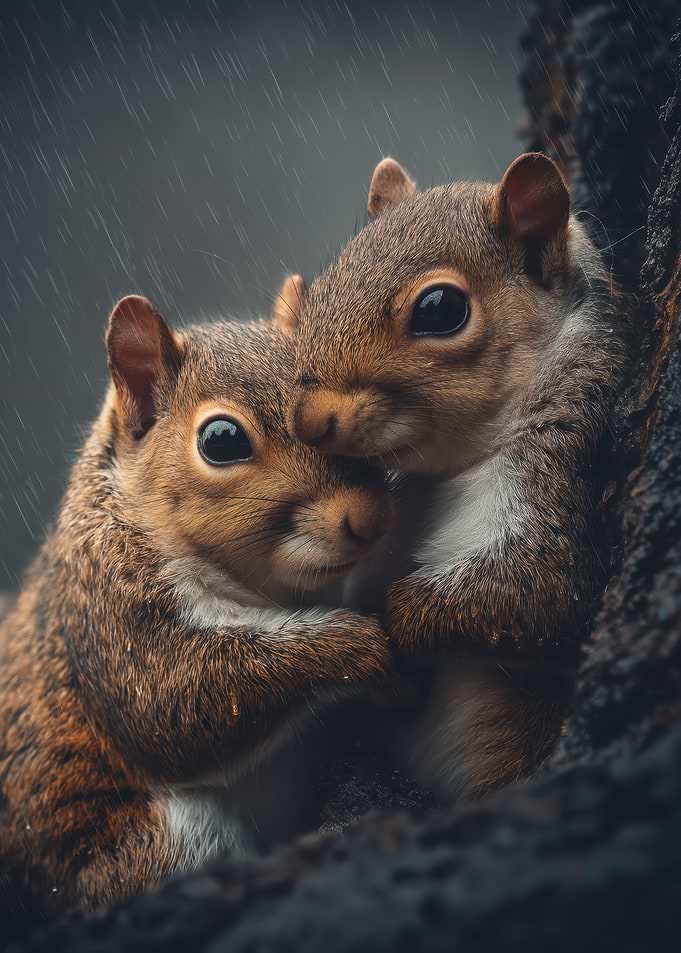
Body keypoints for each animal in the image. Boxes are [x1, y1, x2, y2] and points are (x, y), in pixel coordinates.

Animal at [0, 285, 393, 916]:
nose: (372, 515)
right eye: (222, 441)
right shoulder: (110, 611)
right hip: (155, 844)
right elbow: (174, 702)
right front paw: (359, 645)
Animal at [276, 153, 625, 803]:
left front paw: (392, 624)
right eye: (328, 280)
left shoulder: (553, 477)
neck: (443, 474)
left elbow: (535, 596)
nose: (307, 418)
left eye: (440, 310)